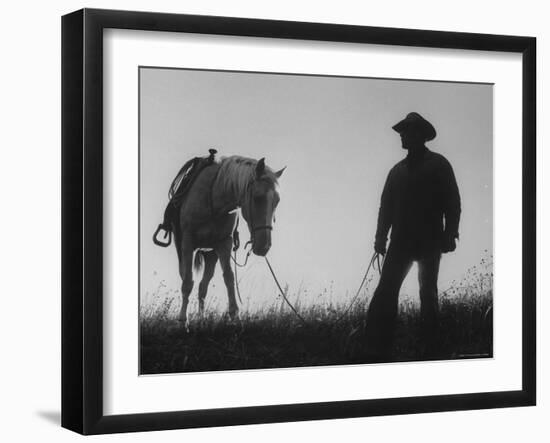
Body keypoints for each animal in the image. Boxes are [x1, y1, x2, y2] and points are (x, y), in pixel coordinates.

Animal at [158, 155, 284, 326]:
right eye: (257, 198)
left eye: (276, 201)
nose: (264, 246)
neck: (213, 198)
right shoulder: (188, 244)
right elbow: (187, 282)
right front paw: (183, 320)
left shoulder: (224, 244)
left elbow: (229, 277)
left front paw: (235, 315)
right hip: (183, 249)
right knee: (187, 278)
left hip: (211, 254)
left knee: (203, 286)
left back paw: (202, 319)